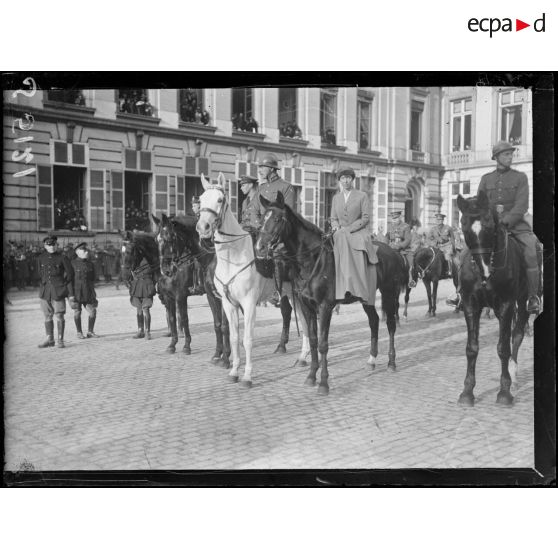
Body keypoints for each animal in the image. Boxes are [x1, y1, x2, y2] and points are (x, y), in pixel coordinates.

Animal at [152, 212, 231, 366]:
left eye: (171, 238)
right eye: (156, 240)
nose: (166, 270)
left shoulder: (180, 295)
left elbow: (184, 319)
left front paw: (186, 346)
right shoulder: (169, 297)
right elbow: (172, 319)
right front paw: (172, 345)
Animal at [196, 172, 310, 390]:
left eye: (220, 200)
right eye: (200, 200)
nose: (203, 227)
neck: (233, 256)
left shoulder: (249, 303)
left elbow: (247, 339)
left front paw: (247, 376)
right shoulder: (228, 303)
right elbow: (233, 337)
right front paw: (233, 371)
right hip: (291, 295)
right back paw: (302, 357)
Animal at [258, 192, 406, 398]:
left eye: (278, 219)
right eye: (262, 218)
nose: (260, 247)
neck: (312, 260)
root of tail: (394, 251)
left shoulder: (325, 307)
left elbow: (323, 344)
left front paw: (323, 383)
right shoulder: (306, 306)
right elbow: (313, 341)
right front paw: (311, 376)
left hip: (389, 294)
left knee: (391, 324)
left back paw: (391, 362)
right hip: (367, 297)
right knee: (374, 321)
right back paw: (371, 360)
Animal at [458, 192, 532, 406]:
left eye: (489, 225)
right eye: (463, 224)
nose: (484, 269)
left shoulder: (507, 305)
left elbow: (503, 348)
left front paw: (504, 391)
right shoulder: (470, 305)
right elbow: (471, 348)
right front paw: (467, 391)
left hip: (522, 302)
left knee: (516, 336)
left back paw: (514, 376)